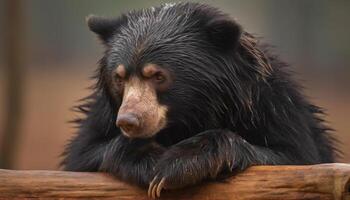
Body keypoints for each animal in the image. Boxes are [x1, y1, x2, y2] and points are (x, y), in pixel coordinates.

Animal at [61, 2, 338, 199]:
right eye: (119, 78)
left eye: (159, 76)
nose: (128, 121)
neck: (191, 114)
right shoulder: (102, 114)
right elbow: (83, 154)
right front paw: (149, 162)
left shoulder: (272, 105)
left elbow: (293, 155)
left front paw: (174, 167)